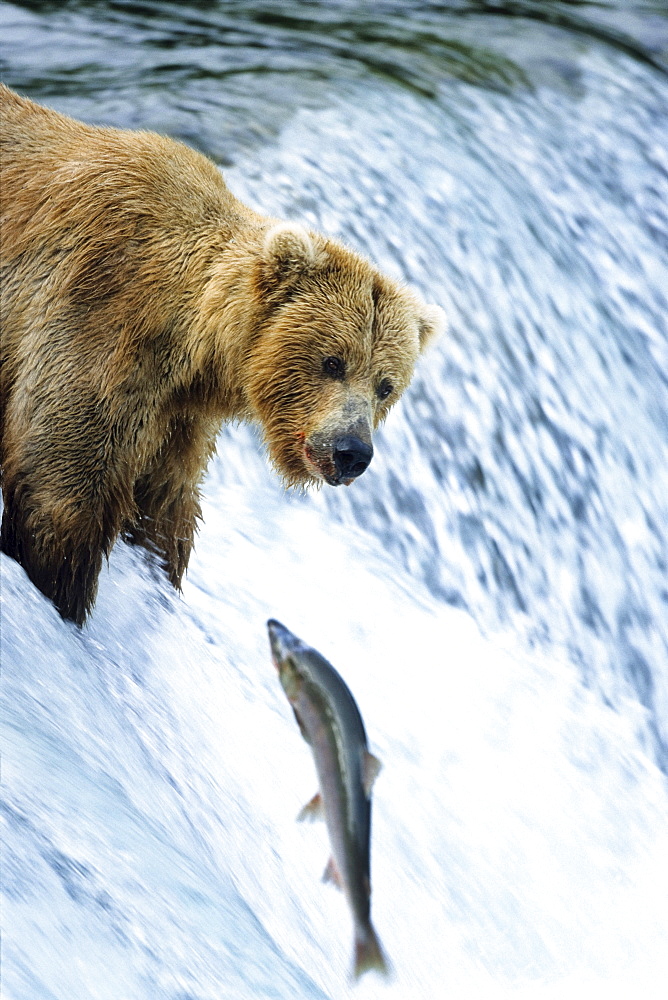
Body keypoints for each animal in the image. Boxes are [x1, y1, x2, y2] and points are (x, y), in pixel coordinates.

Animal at [1, 90, 448, 628]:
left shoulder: (178, 417)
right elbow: (61, 486)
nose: (352, 451)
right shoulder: (99, 317)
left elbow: (166, 508)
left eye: (386, 386)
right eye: (333, 361)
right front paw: (62, 594)